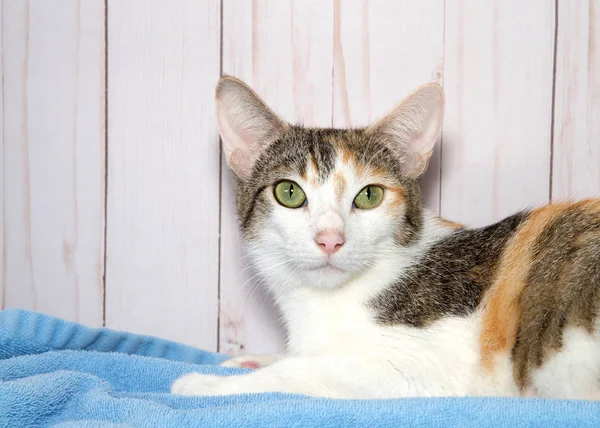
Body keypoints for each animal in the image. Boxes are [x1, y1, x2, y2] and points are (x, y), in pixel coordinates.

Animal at [171, 75, 600, 400]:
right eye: (289, 192)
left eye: (369, 196)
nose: (330, 239)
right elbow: (301, 358)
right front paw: (252, 359)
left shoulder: (426, 367)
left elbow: (305, 371)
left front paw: (204, 384)